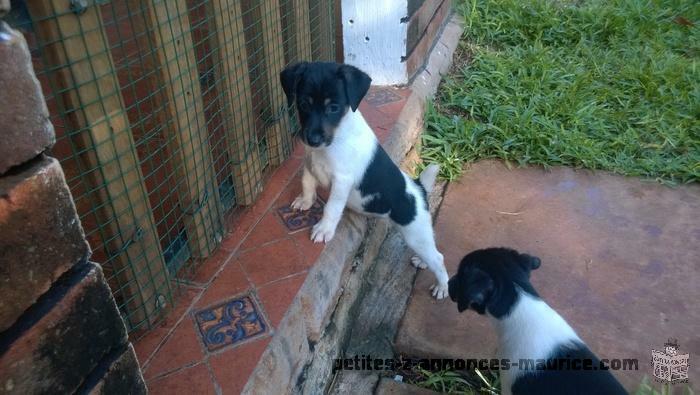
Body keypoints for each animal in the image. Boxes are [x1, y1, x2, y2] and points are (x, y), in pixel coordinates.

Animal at [278, 60, 448, 298]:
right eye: (303, 103)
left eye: (333, 107)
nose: (312, 139)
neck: (336, 138)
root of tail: (419, 188)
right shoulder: (310, 163)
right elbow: (307, 183)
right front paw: (305, 201)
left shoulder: (342, 181)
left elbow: (331, 208)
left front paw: (324, 229)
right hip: (417, 236)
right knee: (432, 251)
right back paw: (422, 262)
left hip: (415, 233)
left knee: (439, 258)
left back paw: (442, 287)